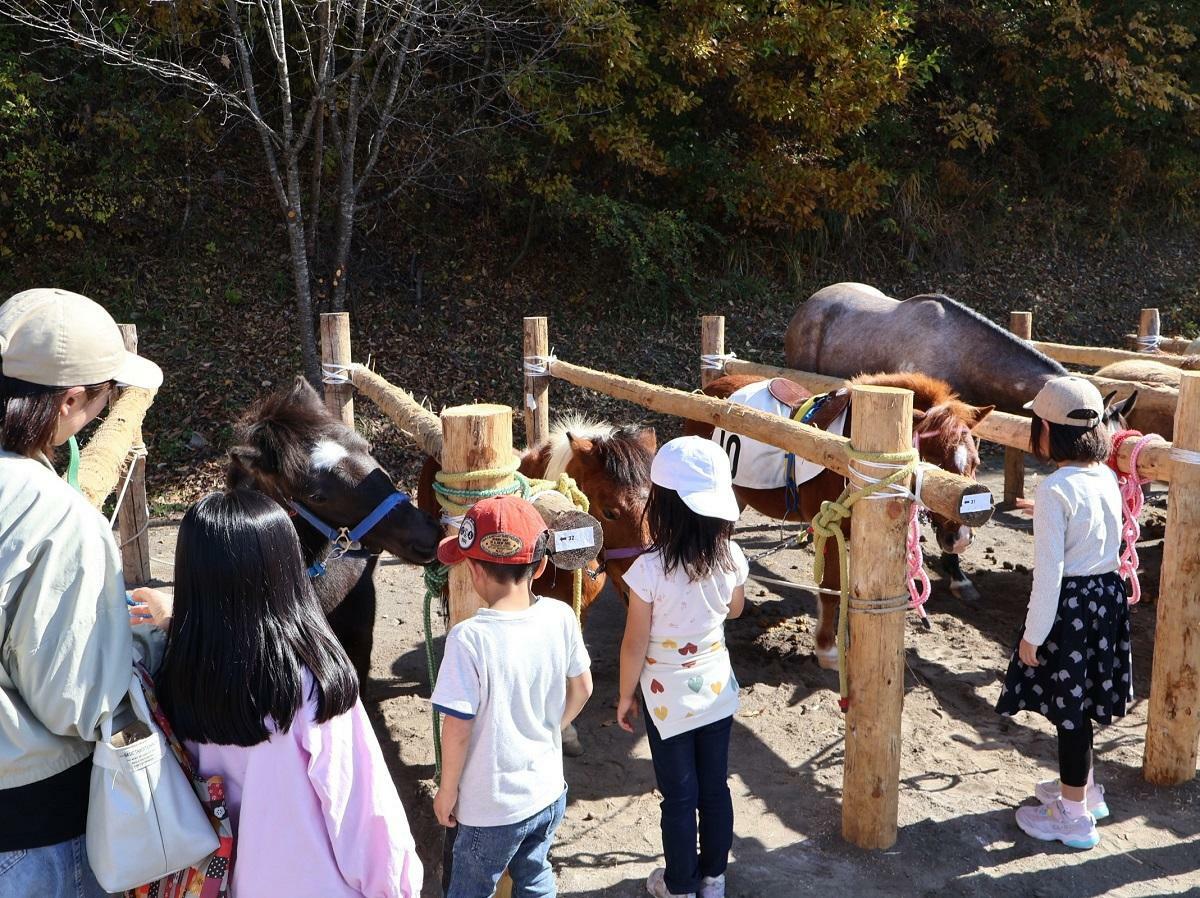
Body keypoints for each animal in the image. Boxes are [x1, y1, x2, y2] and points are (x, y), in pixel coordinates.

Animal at [686, 369, 993, 667]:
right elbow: (831, 587)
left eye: (975, 462)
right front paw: (827, 649)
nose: (961, 538)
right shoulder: (829, 530)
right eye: (933, 463)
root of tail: (710, 388)